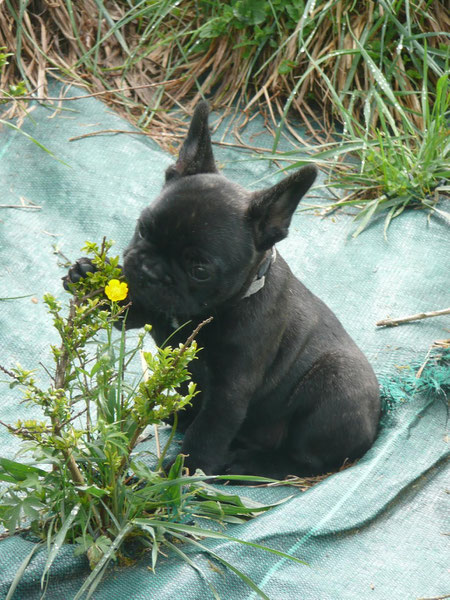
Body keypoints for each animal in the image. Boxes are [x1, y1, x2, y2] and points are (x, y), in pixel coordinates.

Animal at [66, 102, 380, 478]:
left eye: (199, 271)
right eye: (143, 229)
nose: (149, 270)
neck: (210, 309)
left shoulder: (229, 393)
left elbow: (207, 434)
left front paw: (177, 477)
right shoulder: (151, 309)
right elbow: (127, 311)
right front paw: (88, 276)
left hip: (336, 385)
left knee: (299, 462)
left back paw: (243, 462)